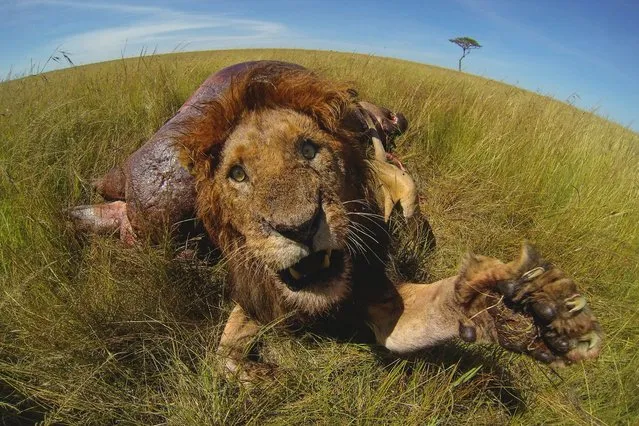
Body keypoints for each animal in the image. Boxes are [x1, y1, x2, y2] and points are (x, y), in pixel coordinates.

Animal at [171, 61, 604, 378]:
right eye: (237, 174)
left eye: (309, 149)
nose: (299, 227)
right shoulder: (257, 300)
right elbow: (223, 351)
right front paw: (255, 374)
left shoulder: (381, 298)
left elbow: (438, 304)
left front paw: (511, 308)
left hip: (409, 197)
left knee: (413, 219)